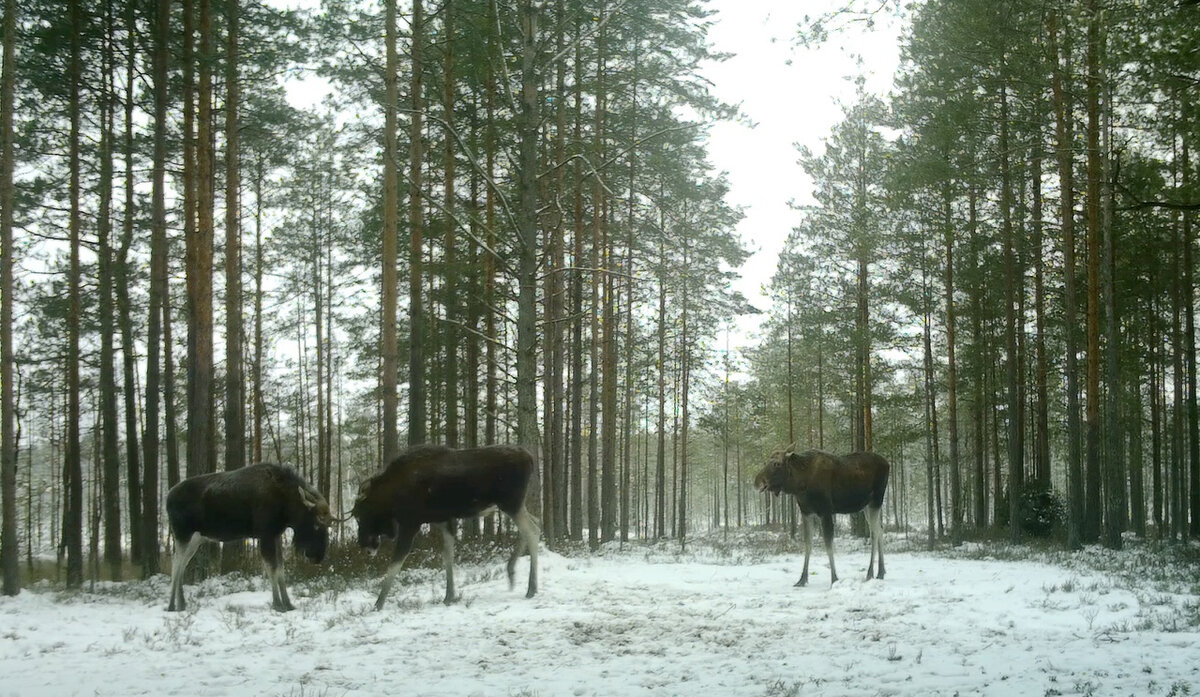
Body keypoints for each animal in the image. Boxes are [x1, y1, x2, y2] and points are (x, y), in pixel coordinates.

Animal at [164, 465, 333, 611]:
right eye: (316, 524)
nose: (317, 556)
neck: (286, 506)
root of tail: (167, 498)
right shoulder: (265, 535)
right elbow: (272, 568)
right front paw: (278, 604)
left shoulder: (275, 535)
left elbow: (280, 568)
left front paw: (288, 603)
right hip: (182, 534)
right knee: (176, 564)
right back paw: (171, 605)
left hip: (196, 539)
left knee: (182, 565)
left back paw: (181, 603)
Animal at [350, 446, 542, 609]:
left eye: (359, 514)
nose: (364, 545)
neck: (390, 498)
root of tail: (530, 459)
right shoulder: (444, 520)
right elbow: (447, 554)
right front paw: (449, 595)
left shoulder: (410, 523)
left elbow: (396, 563)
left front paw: (378, 603)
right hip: (513, 505)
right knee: (536, 522)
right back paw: (511, 571)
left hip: (511, 503)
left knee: (532, 531)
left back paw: (531, 588)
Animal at [753, 443, 888, 585]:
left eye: (777, 463)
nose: (757, 482)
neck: (799, 485)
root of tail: (888, 463)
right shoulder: (806, 512)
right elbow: (808, 544)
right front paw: (802, 579)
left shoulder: (826, 511)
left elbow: (828, 544)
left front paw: (834, 578)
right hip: (866, 506)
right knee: (880, 529)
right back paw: (881, 571)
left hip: (876, 500)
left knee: (874, 533)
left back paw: (871, 573)